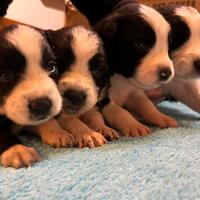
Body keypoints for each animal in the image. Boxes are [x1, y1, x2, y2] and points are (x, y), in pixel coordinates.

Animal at [70, 0, 177, 135]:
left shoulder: (134, 91)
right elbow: (120, 112)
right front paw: (135, 125)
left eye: (168, 44)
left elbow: (147, 105)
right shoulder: (103, 98)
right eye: (140, 44)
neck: (121, 77)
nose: (167, 73)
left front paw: (161, 117)